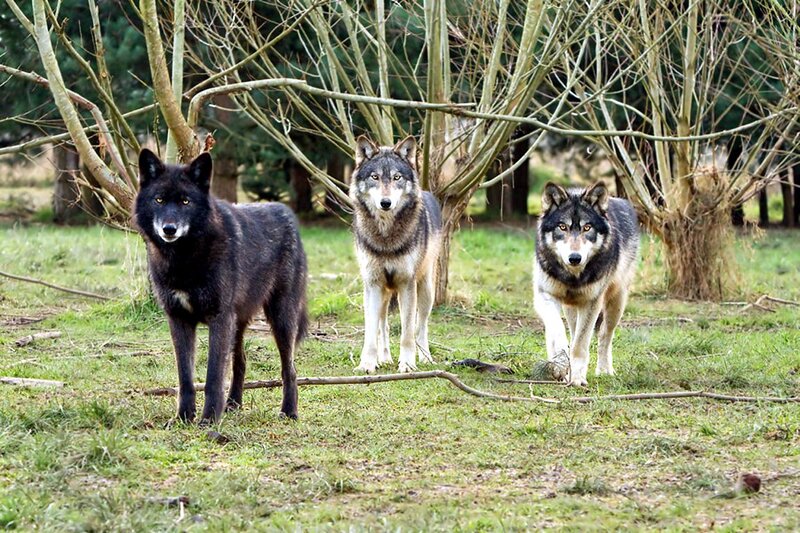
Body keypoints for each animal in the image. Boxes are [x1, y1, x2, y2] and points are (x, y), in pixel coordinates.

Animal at [134, 149, 308, 423]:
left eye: (186, 202)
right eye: (159, 200)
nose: (169, 229)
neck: (184, 260)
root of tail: (286, 211)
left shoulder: (219, 318)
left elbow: (214, 377)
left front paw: (208, 420)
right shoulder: (179, 319)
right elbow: (186, 377)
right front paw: (184, 417)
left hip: (280, 319)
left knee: (289, 368)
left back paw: (289, 411)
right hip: (238, 324)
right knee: (241, 362)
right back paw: (233, 404)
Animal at [350, 136, 443, 374]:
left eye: (396, 177)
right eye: (375, 177)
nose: (386, 203)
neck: (386, 237)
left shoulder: (406, 284)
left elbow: (407, 333)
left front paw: (408, 364)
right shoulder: (372, 284)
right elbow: (371, 332)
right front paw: (367, 364)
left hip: (426, 290)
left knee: (421, 326)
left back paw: (425, 357)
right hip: (383, 293)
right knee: (382, 325)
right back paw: (383, 358)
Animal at [533, 181, 639, 386]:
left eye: (587, 227)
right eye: (562, 227)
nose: (575, 258)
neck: (573, 277)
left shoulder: (592, 303)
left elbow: (580, 346)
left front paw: (577, 378)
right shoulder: (544, 296)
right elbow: (558, 333)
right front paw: (561, 366)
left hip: (617, 302)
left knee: (604, 335)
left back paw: (604, 370)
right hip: (570, 308)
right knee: (571, 332)